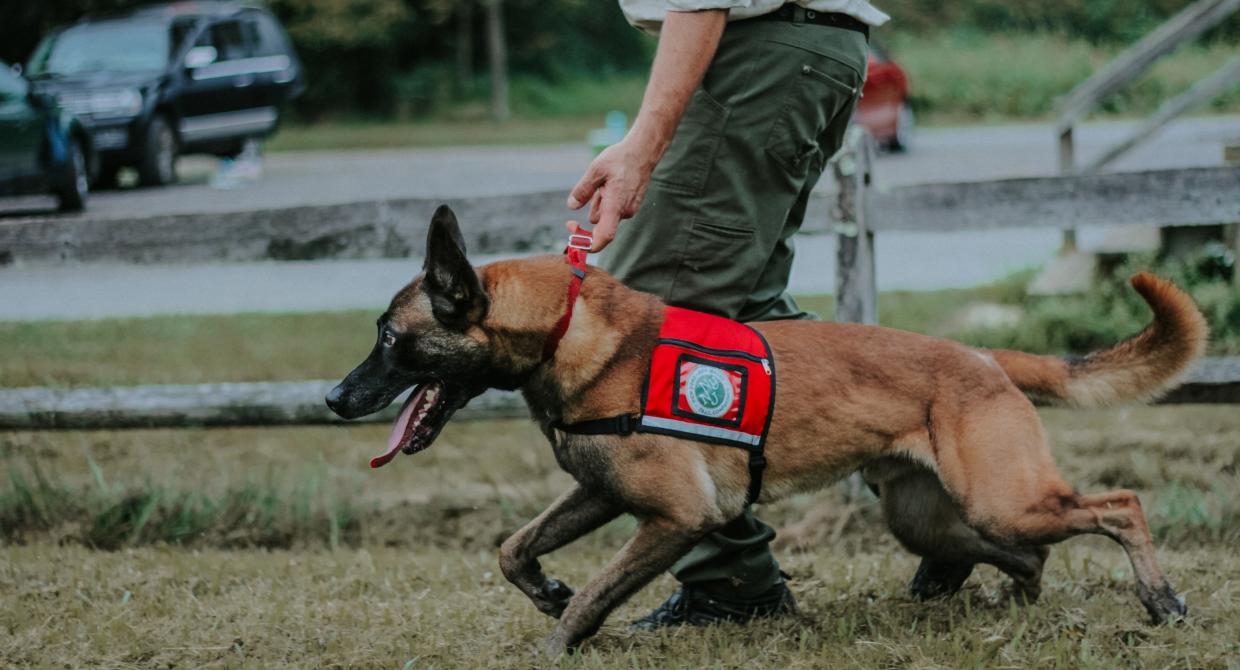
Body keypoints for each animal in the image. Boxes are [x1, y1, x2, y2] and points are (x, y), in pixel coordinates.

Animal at [327, 204, 1200, 655]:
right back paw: (1010, 598)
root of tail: (983, 356)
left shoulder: (674, 518)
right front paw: (545, 591)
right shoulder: (601, 495)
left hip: (1003, 499)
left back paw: (1160, 601)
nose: (335, 397)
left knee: (1120, 506)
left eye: (390, 337)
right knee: (1023, 553)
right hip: (930, 515)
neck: (566, 330)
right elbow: (513, 549)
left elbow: (595, 598)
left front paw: (558, 641)